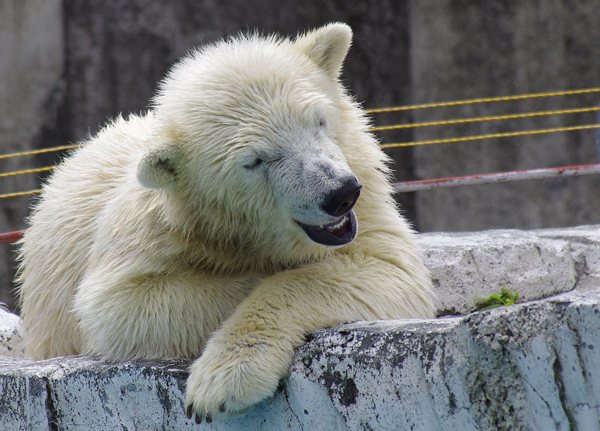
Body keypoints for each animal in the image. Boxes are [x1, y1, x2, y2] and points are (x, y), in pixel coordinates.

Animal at [16, 22, 434, 422]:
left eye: (319, 120)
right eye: (255, 160)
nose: (339, 194)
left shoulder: (369, 205)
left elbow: (388, 270)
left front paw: (224, 380)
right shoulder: (149, 234)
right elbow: (118, 306)